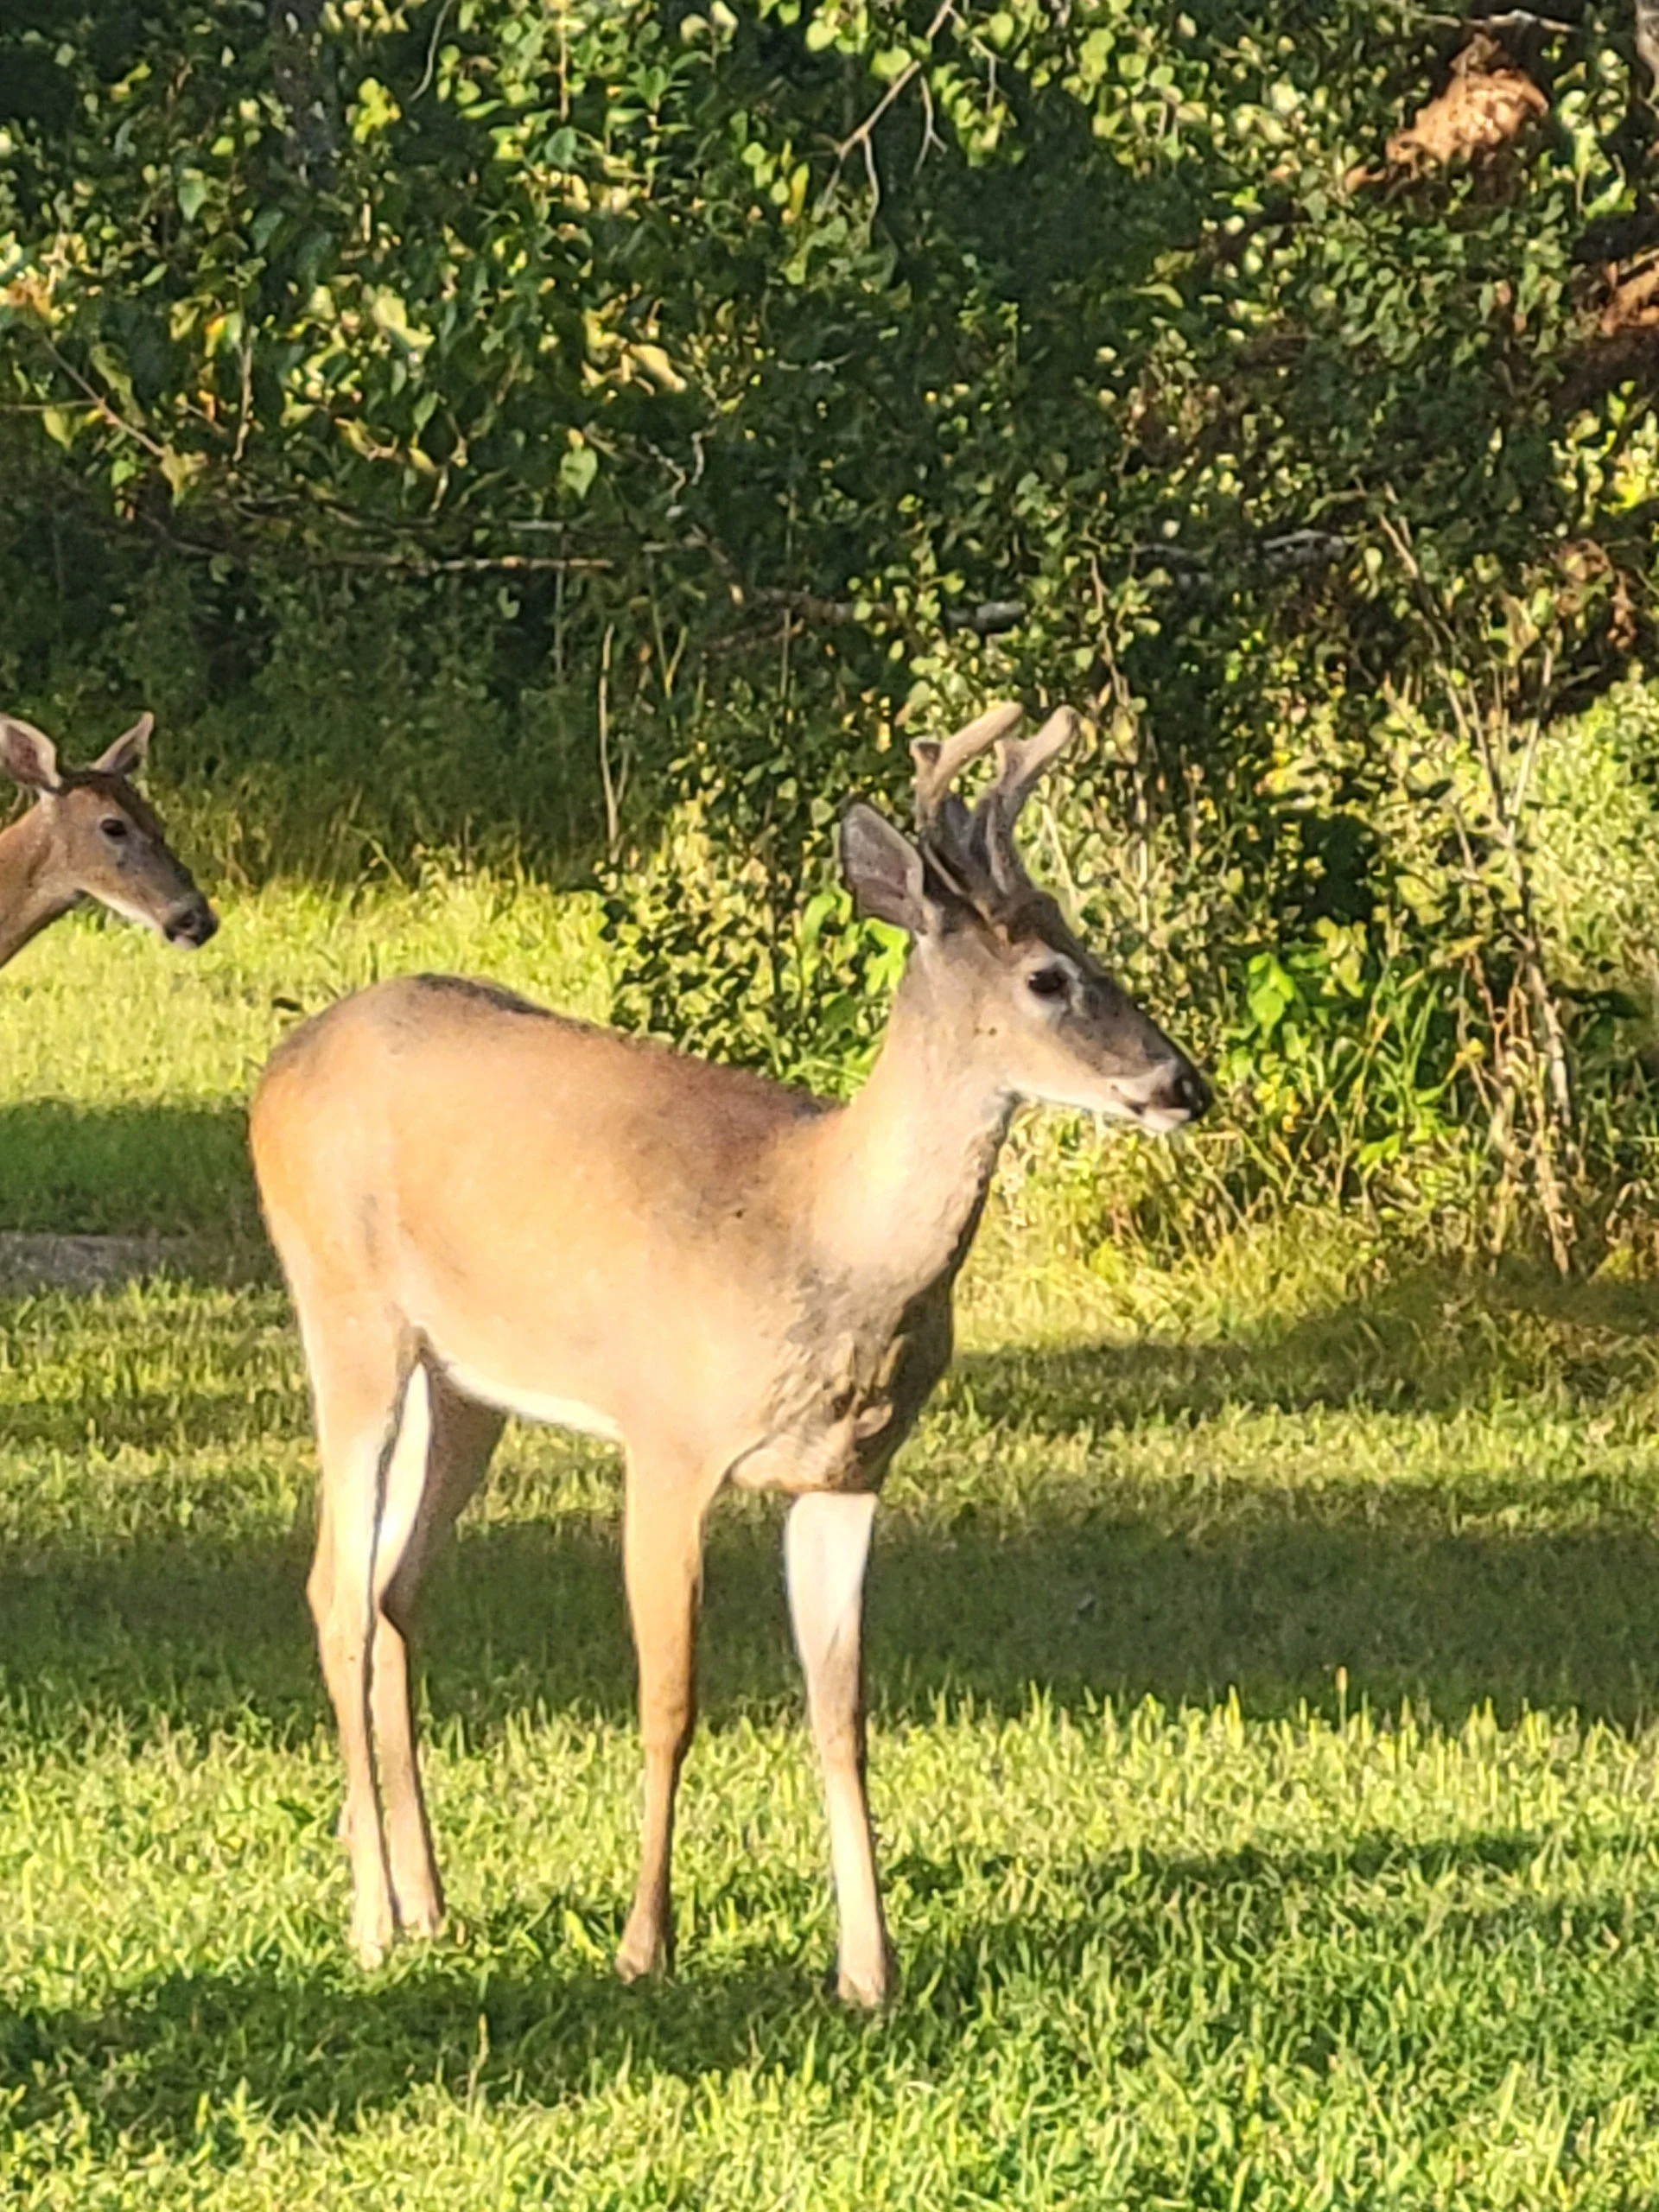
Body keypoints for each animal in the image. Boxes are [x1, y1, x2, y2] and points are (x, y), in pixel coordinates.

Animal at [249, 699, 1208, 2009]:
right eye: (1048, 976)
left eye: (1089, 947)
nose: (1183, 1082)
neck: (820, 1233)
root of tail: (274, 1072)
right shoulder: (666, 1439)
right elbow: (671, 1700)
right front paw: (644, 1945)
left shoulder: (848, 1473)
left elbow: (842, 1712)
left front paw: (868, 1969)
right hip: (344, 1309)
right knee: (334, 1589)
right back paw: (372, 1924)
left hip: (466, 1381)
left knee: (396, 1588)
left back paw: (429, 1900)